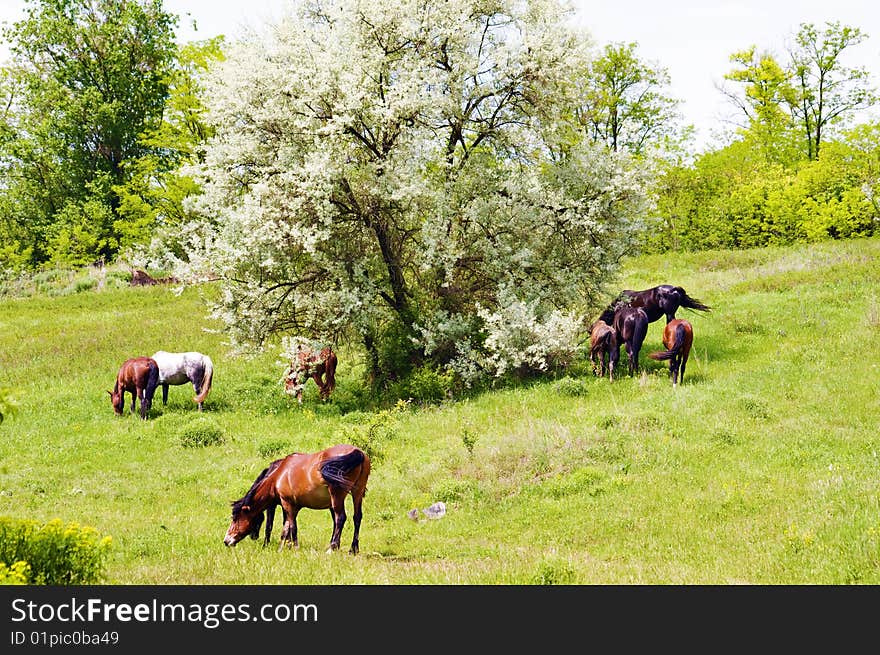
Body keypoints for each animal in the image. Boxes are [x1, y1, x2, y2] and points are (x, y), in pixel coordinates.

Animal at [225, 446, 370, 552]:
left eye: (235, 518)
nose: (226, 541)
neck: (278, 475)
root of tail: (357, 452)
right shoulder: (292, 506)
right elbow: (286, 528)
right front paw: (283, 548)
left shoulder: (287, 504)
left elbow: (291, 527)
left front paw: (293, 547)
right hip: (357, 492)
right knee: (357, 517)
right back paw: (353, 549)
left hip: (337, 496)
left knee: (340, 518)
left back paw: (332, 548)